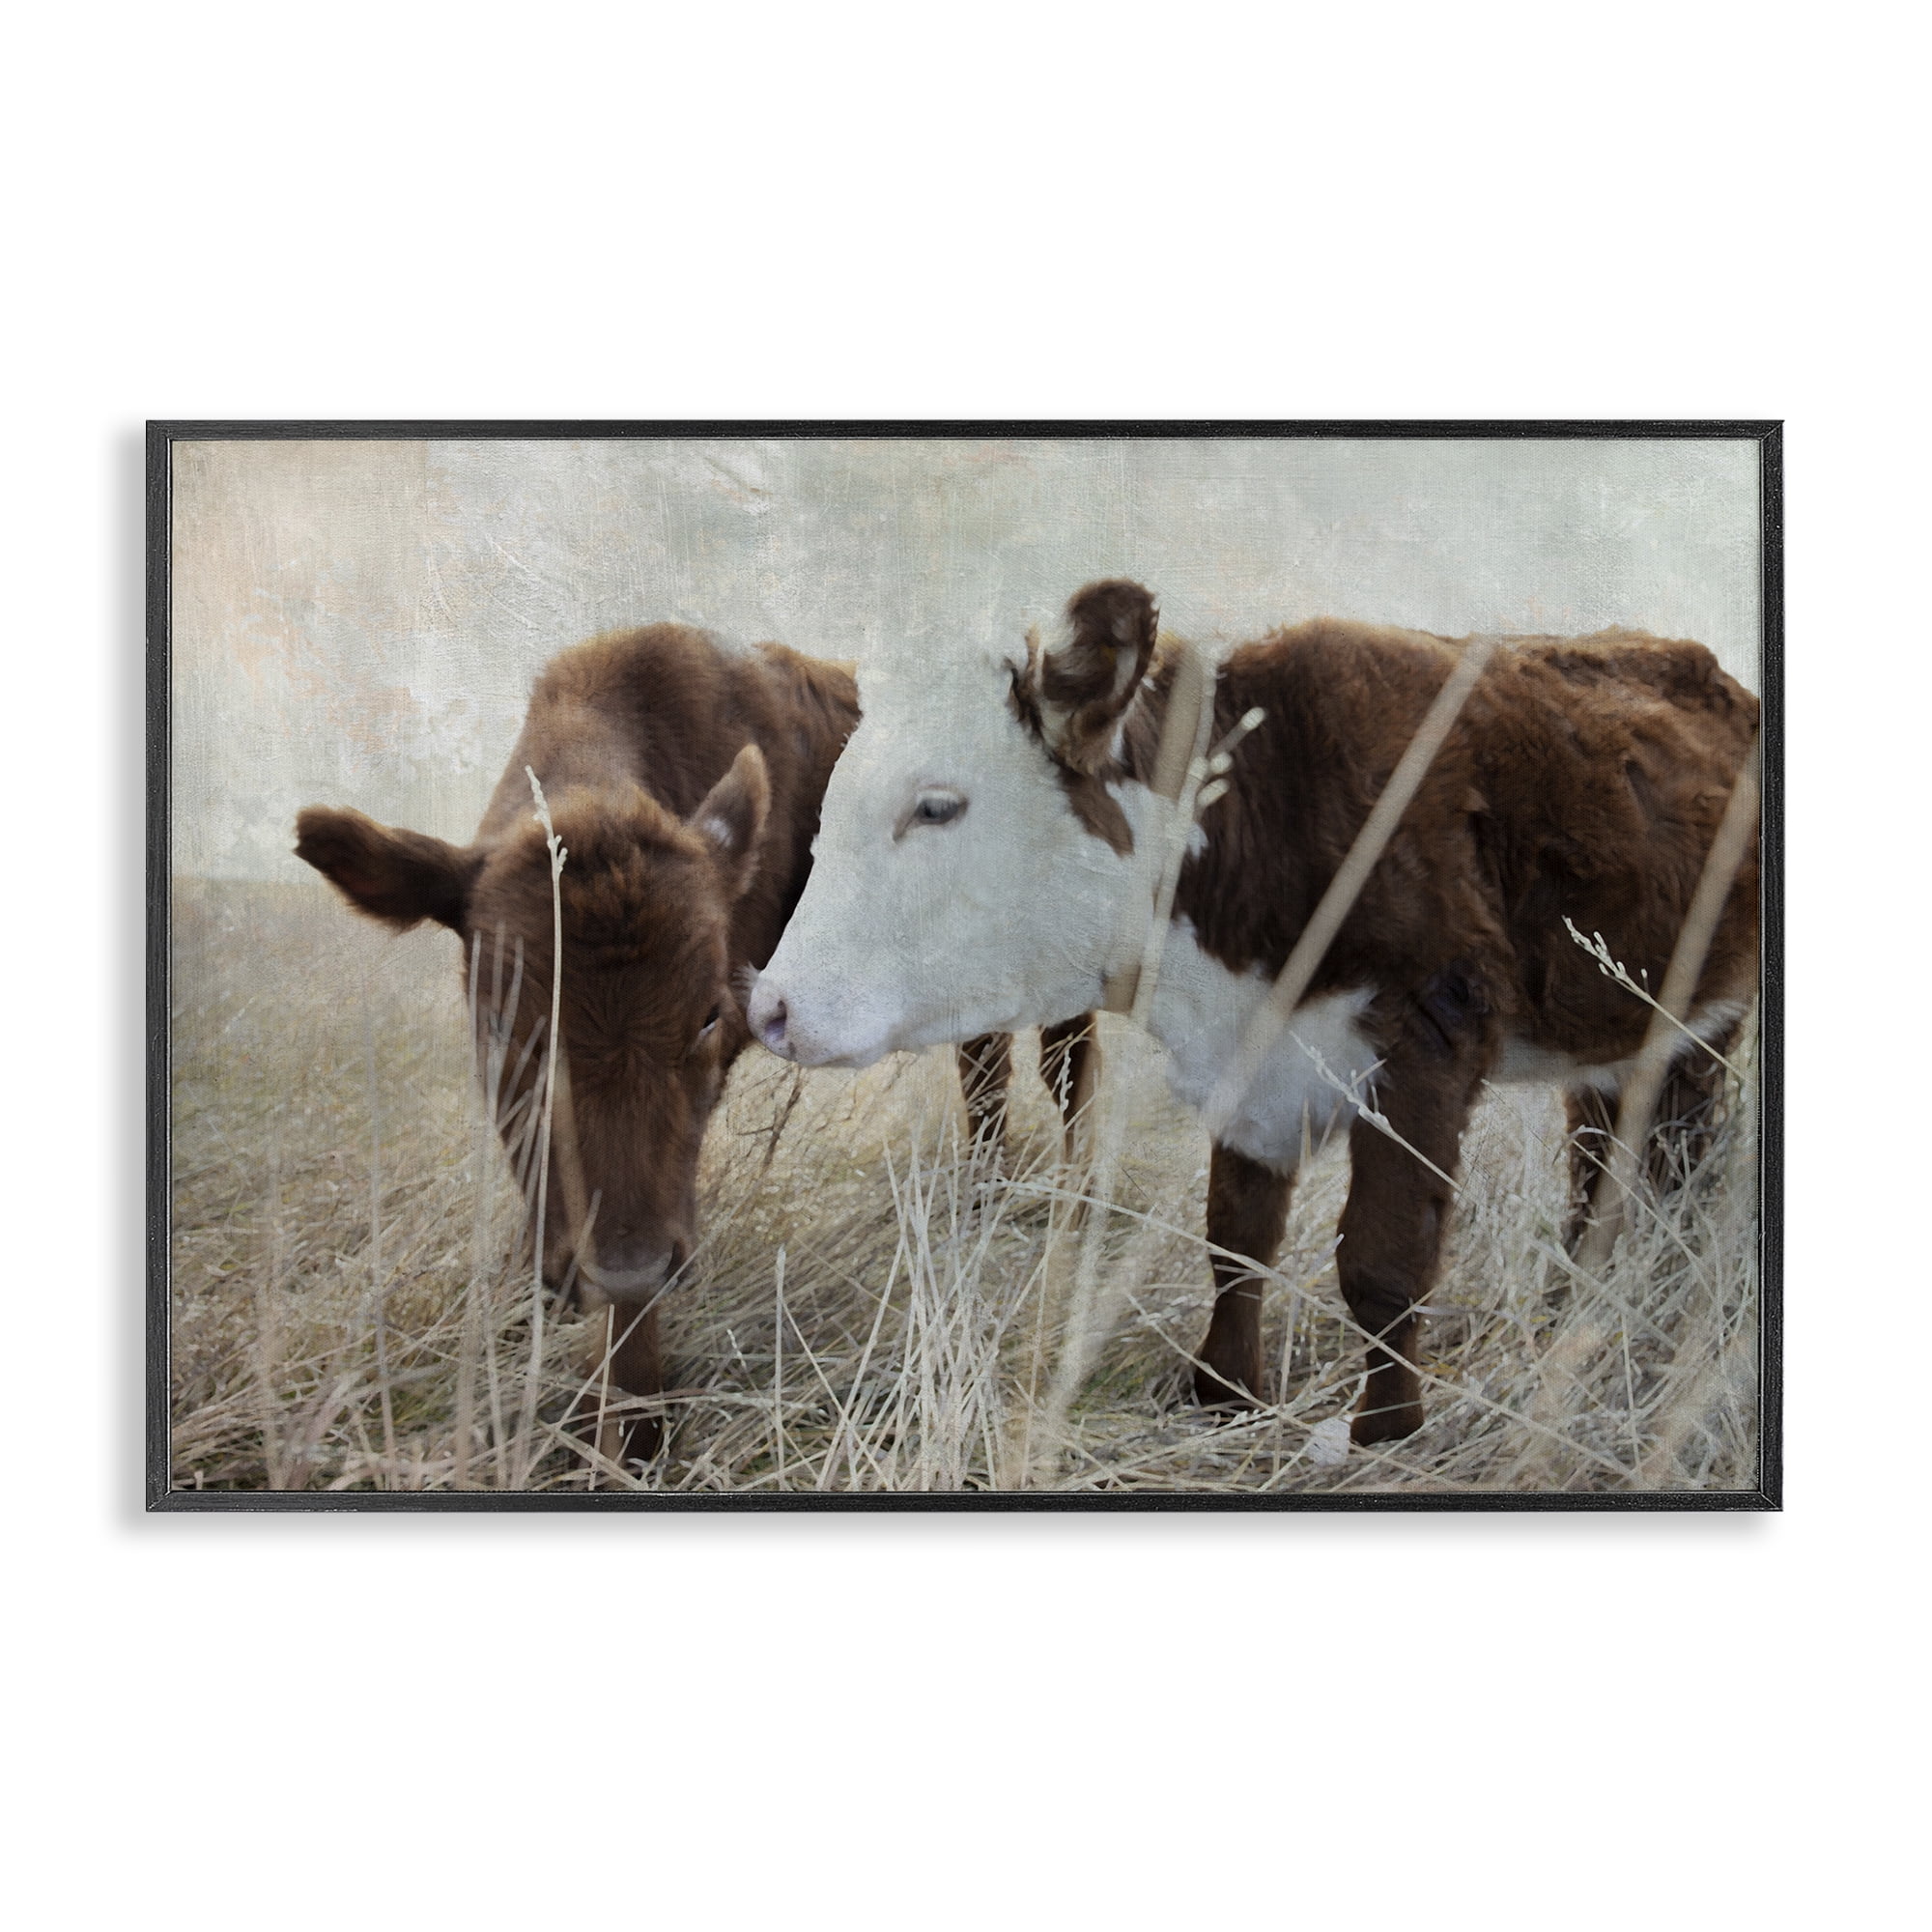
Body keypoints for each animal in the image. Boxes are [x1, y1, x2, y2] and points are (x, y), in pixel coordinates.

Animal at [294, 623, 1094, 1464]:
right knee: (987, 1062)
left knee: (1064, 1060)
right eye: (499, 1020)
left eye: (710, 1015)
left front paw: (637, 1430)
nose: (622, 1267)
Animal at [746, 580, 1760, 1448]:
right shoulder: (1249, 1066)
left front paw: (1384, 1435)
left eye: (938, 806)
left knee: (1675, 1163)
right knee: (1601, 1169)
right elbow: (1235, 1239)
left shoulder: (1429, 1034)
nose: (771, 1006)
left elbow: (1383, 1261)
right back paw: (1572, 1313)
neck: (1261, 808)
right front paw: (1223, 1395)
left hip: (1703, 1025)